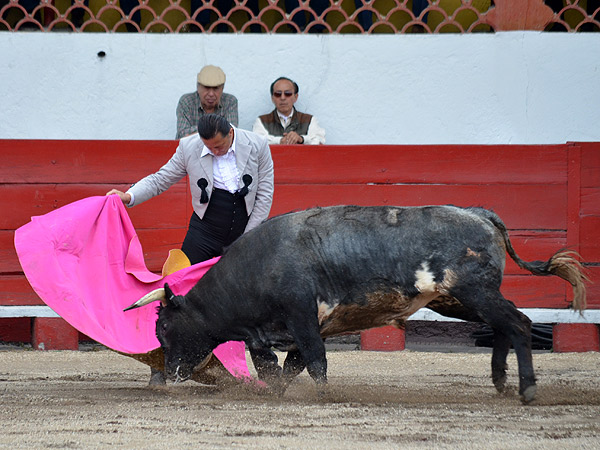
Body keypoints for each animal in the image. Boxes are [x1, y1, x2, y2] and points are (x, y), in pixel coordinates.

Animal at [125, 206, 584, 402]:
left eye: (163, 327)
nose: (171, 372)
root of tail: (480, 214)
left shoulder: (302, 319)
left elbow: (314, 362)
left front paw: (324, 397)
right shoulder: (276, 334)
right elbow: (281, 368)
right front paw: (277, 393)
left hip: (475, 292)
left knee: (518, 323)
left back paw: (525, 389)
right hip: (459, 300)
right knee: (506, 324)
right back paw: (501, 382)